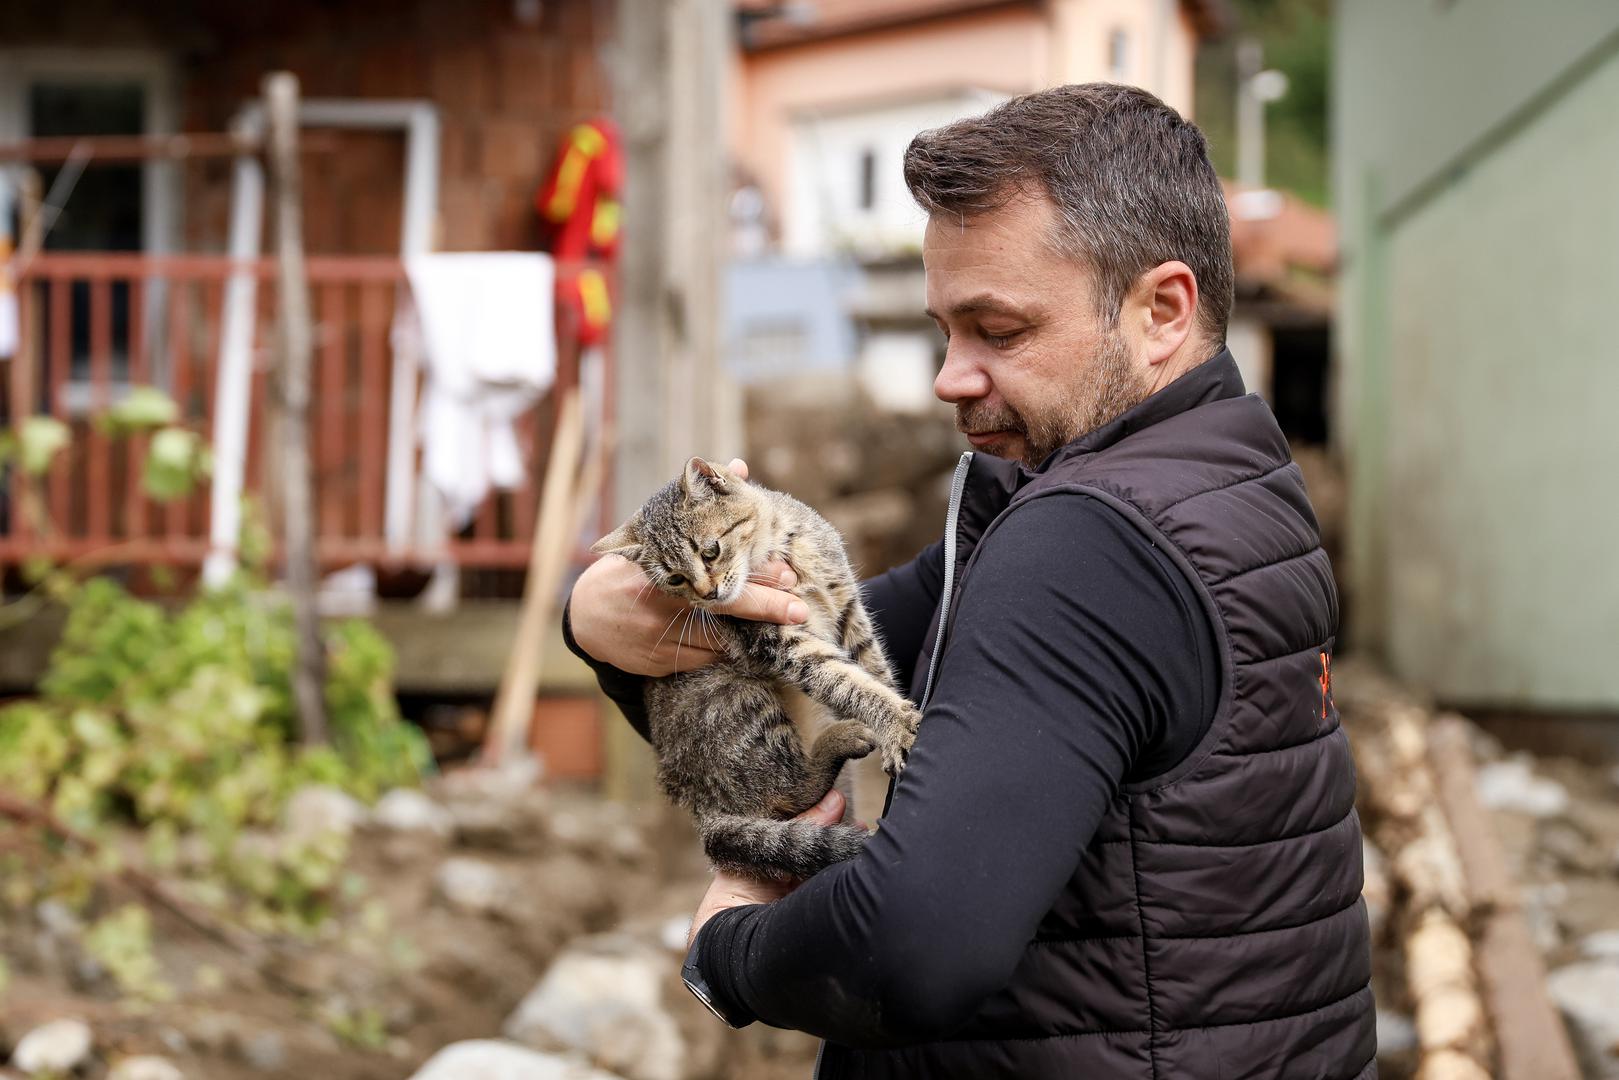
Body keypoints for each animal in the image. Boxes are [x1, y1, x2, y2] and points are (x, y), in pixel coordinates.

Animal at [595, 456, 926, 880]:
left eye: (711, 551)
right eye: (675, 579)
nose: (708, 594)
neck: (781, 551)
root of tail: (701, 808)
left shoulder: (848, 606)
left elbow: (872, 667)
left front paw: (894, 707)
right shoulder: (778, 641)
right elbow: (843, 680)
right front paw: (892, 721)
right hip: (735, 695)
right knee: (792, 788)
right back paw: (841, 740)